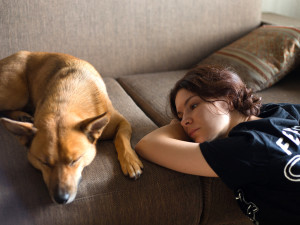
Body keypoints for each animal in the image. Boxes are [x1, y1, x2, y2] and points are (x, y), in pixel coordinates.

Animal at [0, 51, 143, 204]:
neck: (63, 104)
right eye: (44, 162)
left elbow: (121, 138)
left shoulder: (122, 122)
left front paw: (130, 161)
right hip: (18, 93)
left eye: (75, 160)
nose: (61, 198)